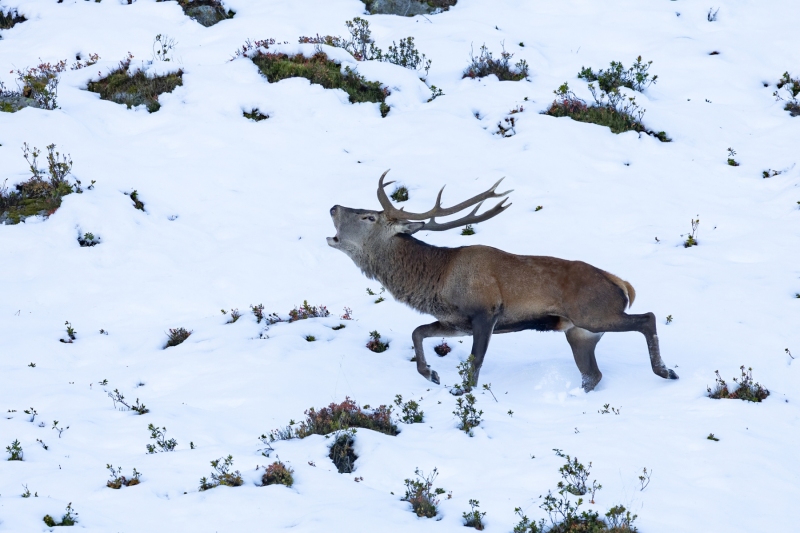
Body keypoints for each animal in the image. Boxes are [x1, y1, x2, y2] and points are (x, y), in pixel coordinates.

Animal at [327, 170, 678, 392]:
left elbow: (474, 365)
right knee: (593, 374)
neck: (438, 280)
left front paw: (461, 394)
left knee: (647, 317)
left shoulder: (486, 312)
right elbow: (417, 332)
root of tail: (622, 285)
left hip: (594, 313)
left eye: (369, 216)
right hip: (581, 333)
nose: (333, 206)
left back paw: (666, 370)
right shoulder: (455, 321)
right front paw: (432, 375)